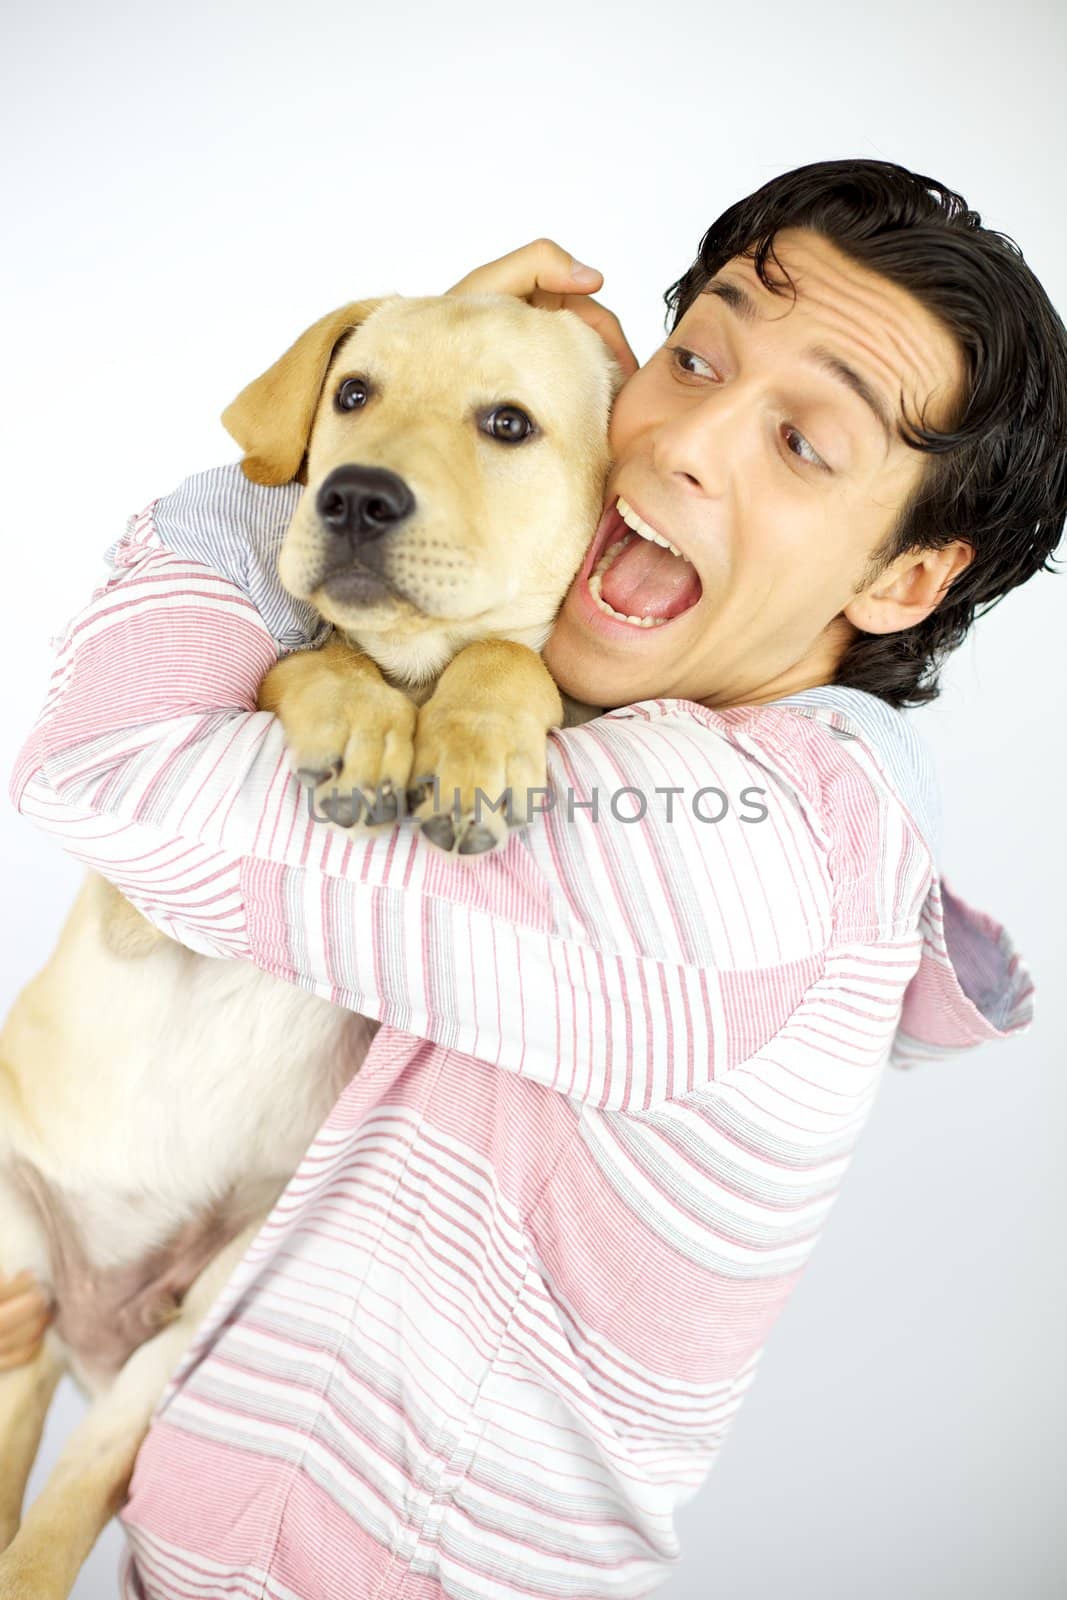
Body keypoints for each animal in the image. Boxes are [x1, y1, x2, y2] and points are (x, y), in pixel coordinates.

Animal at [0, 291, 617, 1600]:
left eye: (507, 423)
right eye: (352, 394)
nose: (354, 498)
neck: (414, 667)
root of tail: (93, 1315)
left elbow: (508, 654)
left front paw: (477, 743)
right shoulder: (146, 896)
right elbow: (316, 658)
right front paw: (359, 723)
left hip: (188, 1323)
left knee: (67, 1497)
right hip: (12, 1259)